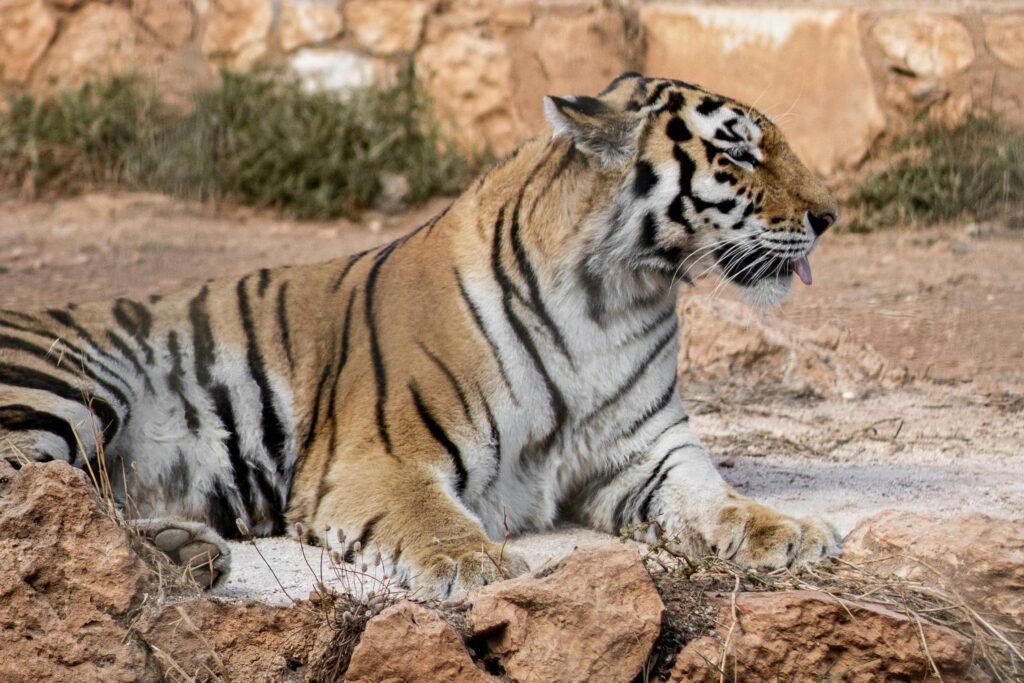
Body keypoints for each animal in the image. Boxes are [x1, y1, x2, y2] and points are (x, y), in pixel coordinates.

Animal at [0, 73, 841, 597]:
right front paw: (480, 566)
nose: (830, 215)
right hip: (74, 386)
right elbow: (434, 518)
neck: (615, 297)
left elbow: (717, 499)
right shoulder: (379, 458)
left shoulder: (648, 453)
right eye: (738, 150)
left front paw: (792, 529)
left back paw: (187, 554)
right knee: (34, 503)